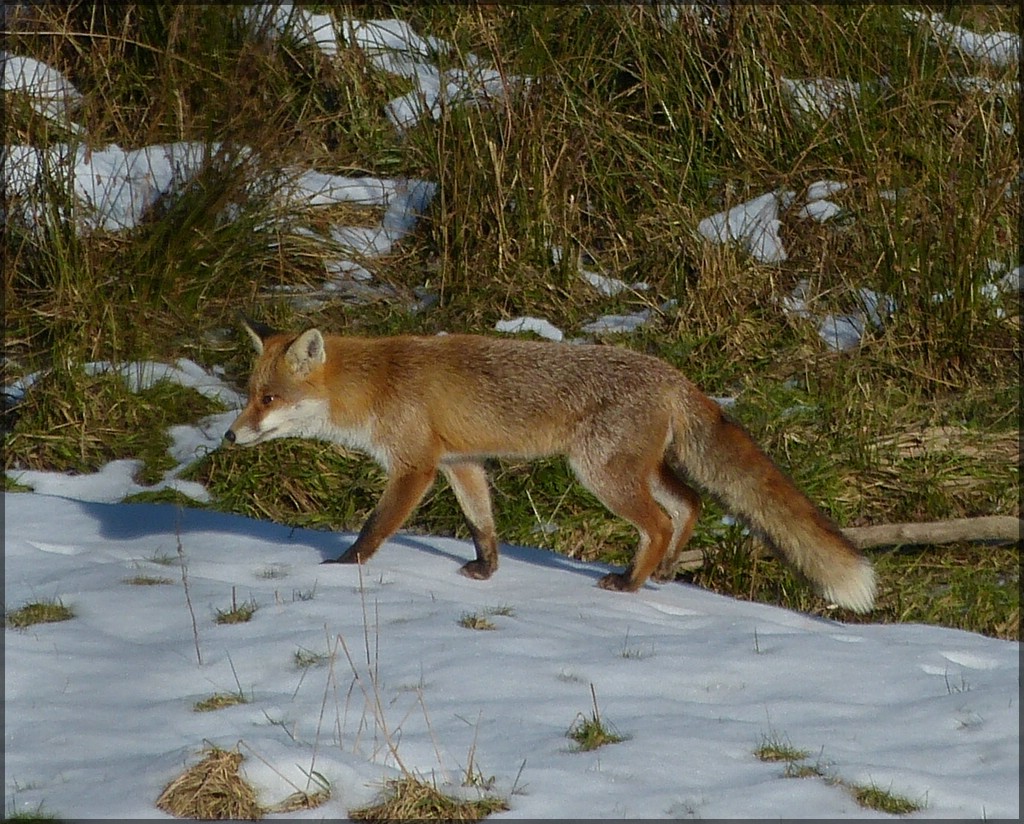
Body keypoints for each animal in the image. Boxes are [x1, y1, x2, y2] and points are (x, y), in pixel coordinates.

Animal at [228, 317, 876, 614]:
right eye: (249, 394)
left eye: (269, 399)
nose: (230, 435)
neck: (377, 383)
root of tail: (672, 374)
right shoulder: (460, 460)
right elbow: (482, 523)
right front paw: (487, 570)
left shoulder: (414, 465)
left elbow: (376, 526)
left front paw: (342, 567)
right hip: (636, 468)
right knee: (689, 503)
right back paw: (665, 572)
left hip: (600, 473)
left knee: (659, 522)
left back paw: (631, 583)